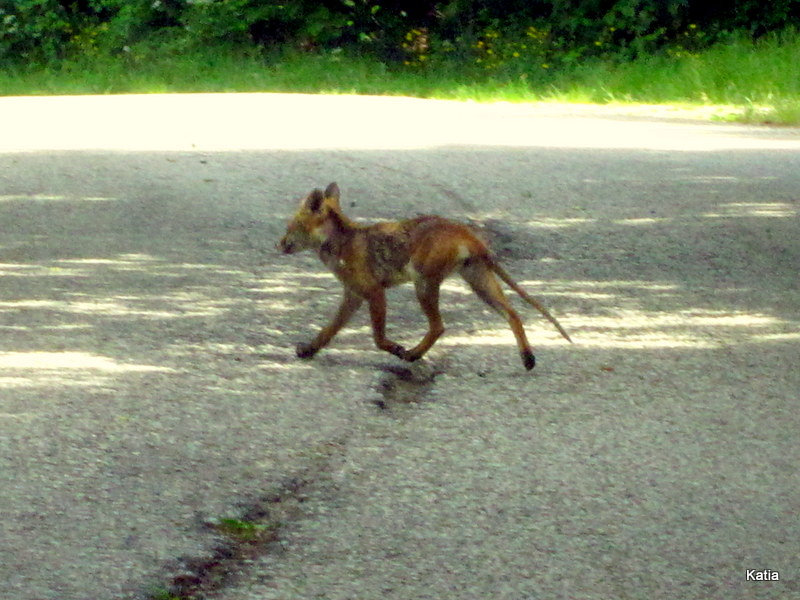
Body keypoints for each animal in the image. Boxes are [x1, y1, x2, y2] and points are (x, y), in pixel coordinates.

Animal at [278, 183, 572, 370]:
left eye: (290, 226)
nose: (278, 245)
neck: (341, 244)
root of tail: (464, 231)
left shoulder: (374, 292)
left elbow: (377, 338)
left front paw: (396, 348)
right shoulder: (353, 295)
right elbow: (327, 331)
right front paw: (309, 350)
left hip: (424, 284)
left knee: (439, 326)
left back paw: (413, 354)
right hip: (478, 283)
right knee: (513, 314)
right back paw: (527, 358)